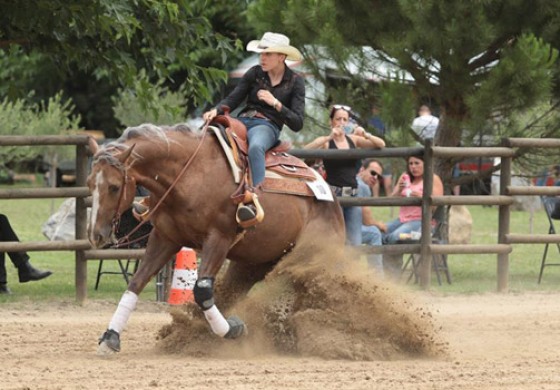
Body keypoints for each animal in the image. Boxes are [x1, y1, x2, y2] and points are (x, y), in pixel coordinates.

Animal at [87, 123, 346, 354]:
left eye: (114, 186)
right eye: (90, 184)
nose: (95, 235)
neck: (190, 174)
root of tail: (331, 198)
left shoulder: (219, 239)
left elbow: (202, 291)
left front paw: (233, 329)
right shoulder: (165, 239)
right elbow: (136, 283)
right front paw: (110, 337)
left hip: (312, 257)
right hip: (252, 264)